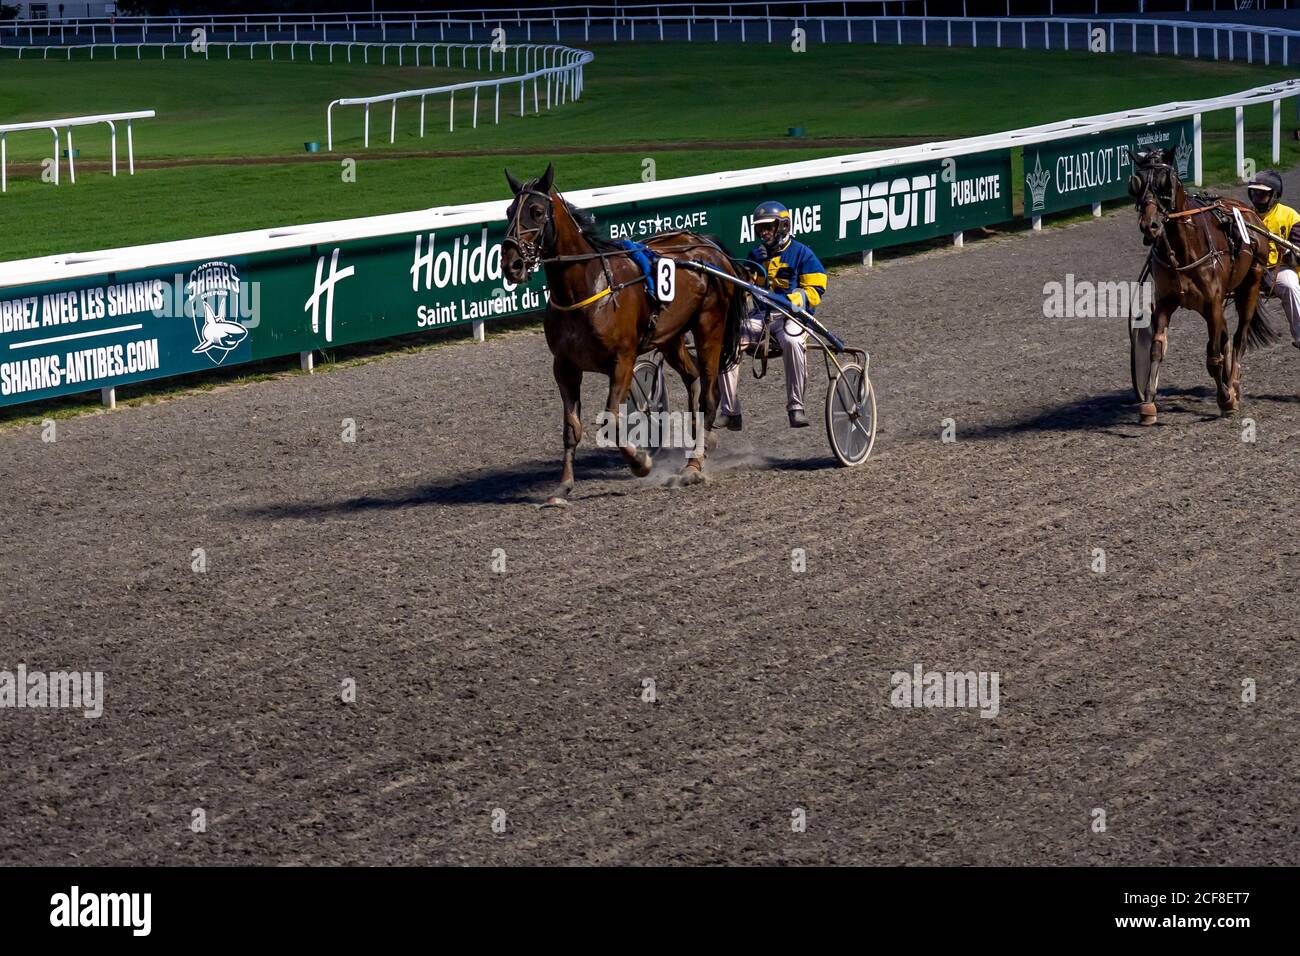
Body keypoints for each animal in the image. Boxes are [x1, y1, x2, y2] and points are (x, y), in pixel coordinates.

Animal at [501, 164, 748, 509]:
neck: (586, 289)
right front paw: (563, 486)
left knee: (709, 394)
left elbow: (612, 420)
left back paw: (693, 465)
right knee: (693, 378)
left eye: (536, 212)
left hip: (709, 325)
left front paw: (640, 462)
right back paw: (699, 439)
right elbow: (571, 428)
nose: (511, 263)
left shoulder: (622, 360)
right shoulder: (564, 366)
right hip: (671, 337)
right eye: (509, 211)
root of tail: (707, 245)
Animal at [1128, 147, 1279, 424]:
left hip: (1249, 288)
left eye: (1165, 182)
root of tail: (1248, 212)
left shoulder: (1212, 304)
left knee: (1239, 338)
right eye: (1136, 183)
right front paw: (1148, 403)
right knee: (1226, 335)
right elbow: (1156, 349)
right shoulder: (1165, 302)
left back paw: (1233, 384)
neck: (1183, 250)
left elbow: (1213, 357)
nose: (1149, 225)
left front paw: (1226, 399)